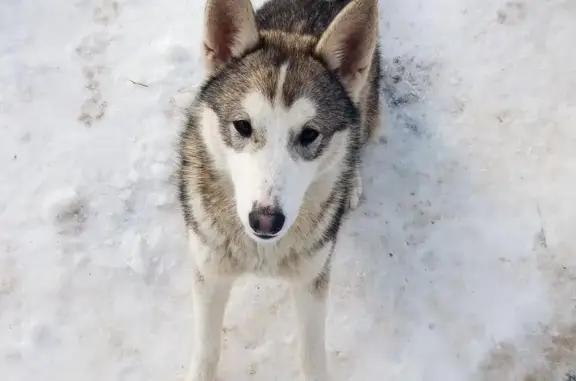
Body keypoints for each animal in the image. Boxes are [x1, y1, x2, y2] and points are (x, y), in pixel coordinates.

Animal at [178, 0, 380, 378]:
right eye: (242, 126)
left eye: (310, 134)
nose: (265, 220)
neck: (260, 252)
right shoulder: (209, 270)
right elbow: (207, 349)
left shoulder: (311, 278)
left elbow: (312, 357)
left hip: (367, 99)